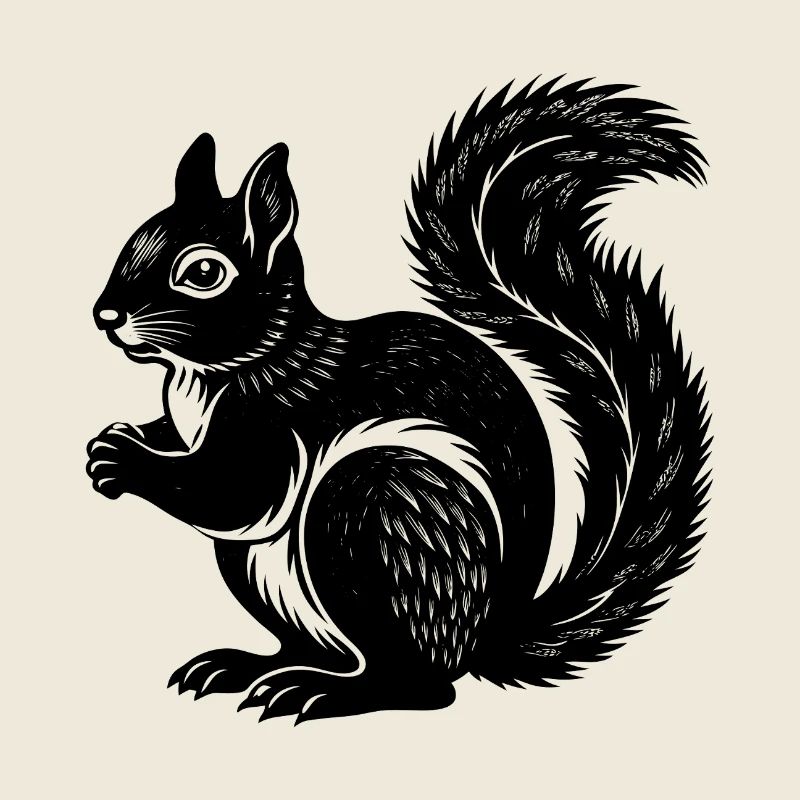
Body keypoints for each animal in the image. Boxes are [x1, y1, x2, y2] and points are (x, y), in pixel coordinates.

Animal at [86, 77, 710, 722]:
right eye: (134, 239)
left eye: (204, 273)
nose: (105, 315)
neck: (212, 373)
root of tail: (486, 639)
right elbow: (180, 443)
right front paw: (122, 436)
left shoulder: (274, 422)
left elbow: (232, 494)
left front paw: (124, 461)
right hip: (264, 570)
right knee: (316, 648)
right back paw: (247, 668)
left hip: (374, 513)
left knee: (420, 685)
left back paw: (323, 691)